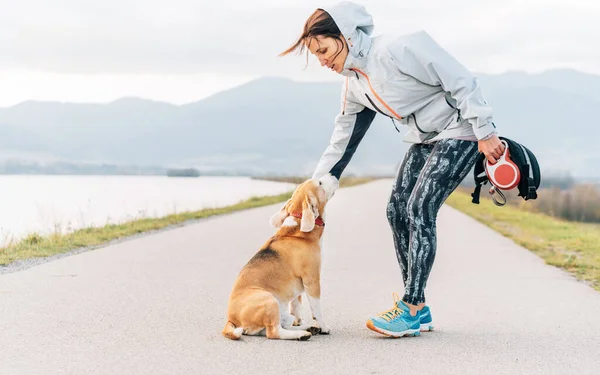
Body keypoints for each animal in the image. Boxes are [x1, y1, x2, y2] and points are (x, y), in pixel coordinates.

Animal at [221, 176, 338, 340]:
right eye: (319, 183)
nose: (334, 175)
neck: (297, 228)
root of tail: (231, 319)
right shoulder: (312, 280)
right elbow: (316, 308)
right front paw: (323, 327)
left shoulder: (298, 288)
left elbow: (296, 307)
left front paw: (304, 322)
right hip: (269, 300)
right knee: (273, 332)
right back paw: (302, 334)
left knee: (282, 325)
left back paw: (306, 328)